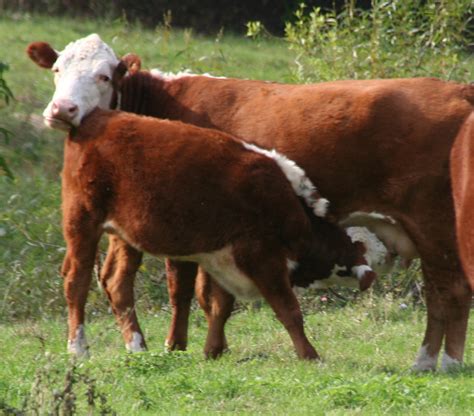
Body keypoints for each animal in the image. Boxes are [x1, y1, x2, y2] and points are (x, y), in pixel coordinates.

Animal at [26, 34, 474, 368]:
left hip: (435, 227)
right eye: (57, 70)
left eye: (103, 76)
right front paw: (208, 348)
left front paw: (177, 346)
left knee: (449, 290)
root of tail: (457, 89)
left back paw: (439, 362)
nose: (62, 110)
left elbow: (185, 289)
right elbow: (212, 295)